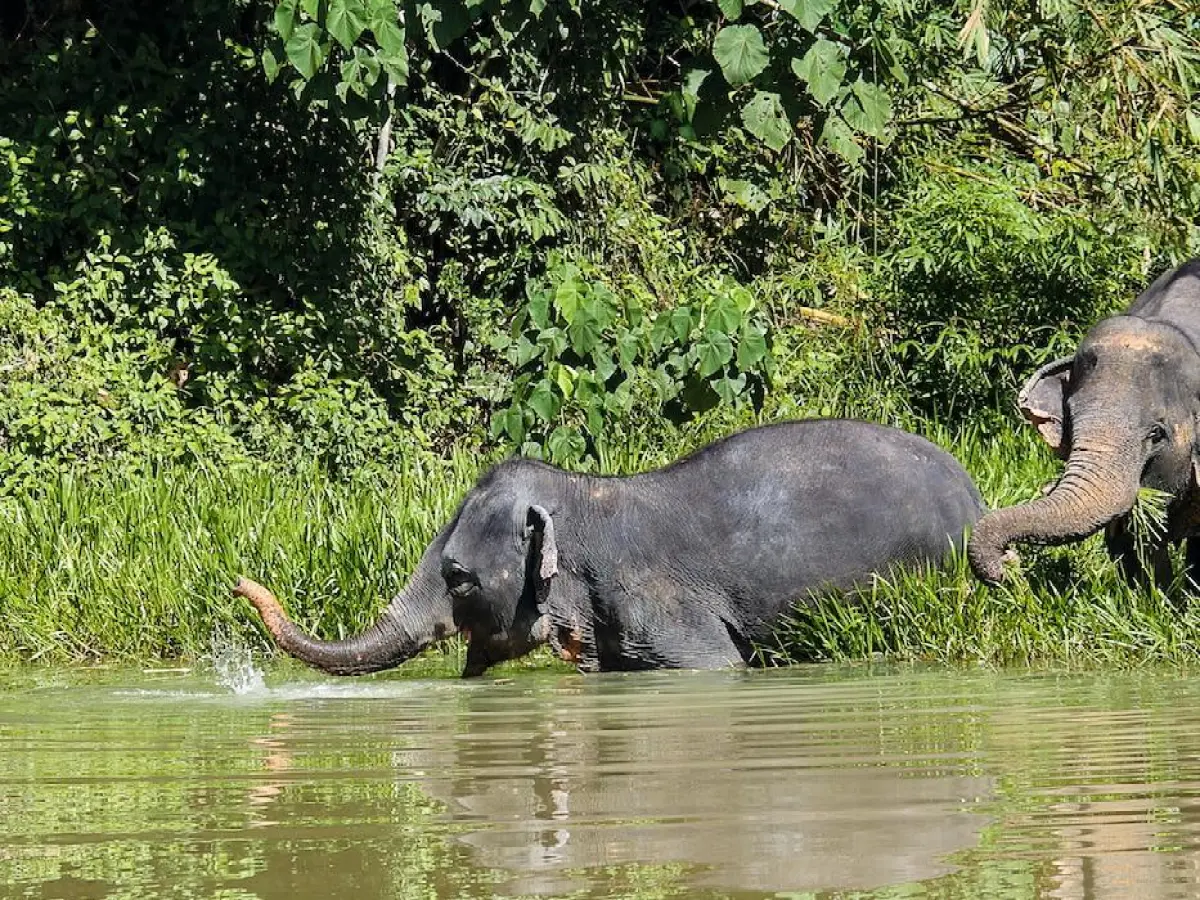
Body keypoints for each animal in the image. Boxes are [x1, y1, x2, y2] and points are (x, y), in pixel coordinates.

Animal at [236, 419, 985, 677]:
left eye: (458, 578)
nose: (241, 585)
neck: (585, 495)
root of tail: (975, 495)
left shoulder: (655, 601)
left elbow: (716, 665)